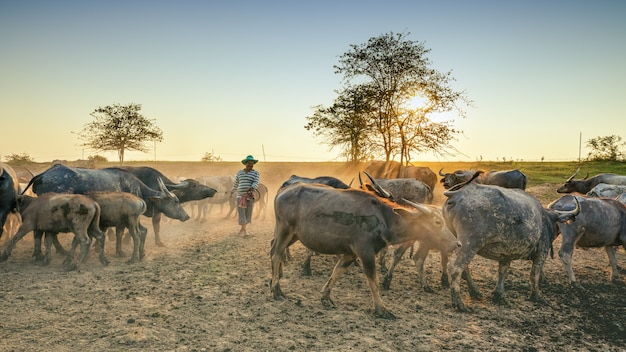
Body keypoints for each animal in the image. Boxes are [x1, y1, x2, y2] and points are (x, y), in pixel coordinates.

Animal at [268, 179, 458, 320]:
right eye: (437, 222)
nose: (456, 244)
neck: (384, 220)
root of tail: (283, 191)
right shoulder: (365, 253)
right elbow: (373, 281)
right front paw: (381, 309)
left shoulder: (350, 254)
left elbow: (336, 273)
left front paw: (326, 297)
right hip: (285, 231)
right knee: (276, 254)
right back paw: (277, 290)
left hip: (294, 236)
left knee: (273, 250)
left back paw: (274, 281)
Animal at [442, 172, 576, 312]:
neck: (545, 219)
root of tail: (457, 195)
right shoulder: (542, 252)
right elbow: (534, 274)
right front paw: (537, 296)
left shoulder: (506, 254)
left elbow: (503, 272)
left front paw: (499, 294)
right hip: (470, 244)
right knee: (455, 267)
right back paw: (459, 303)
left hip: (458, 241)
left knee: (464, 268)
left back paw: (475, 292)